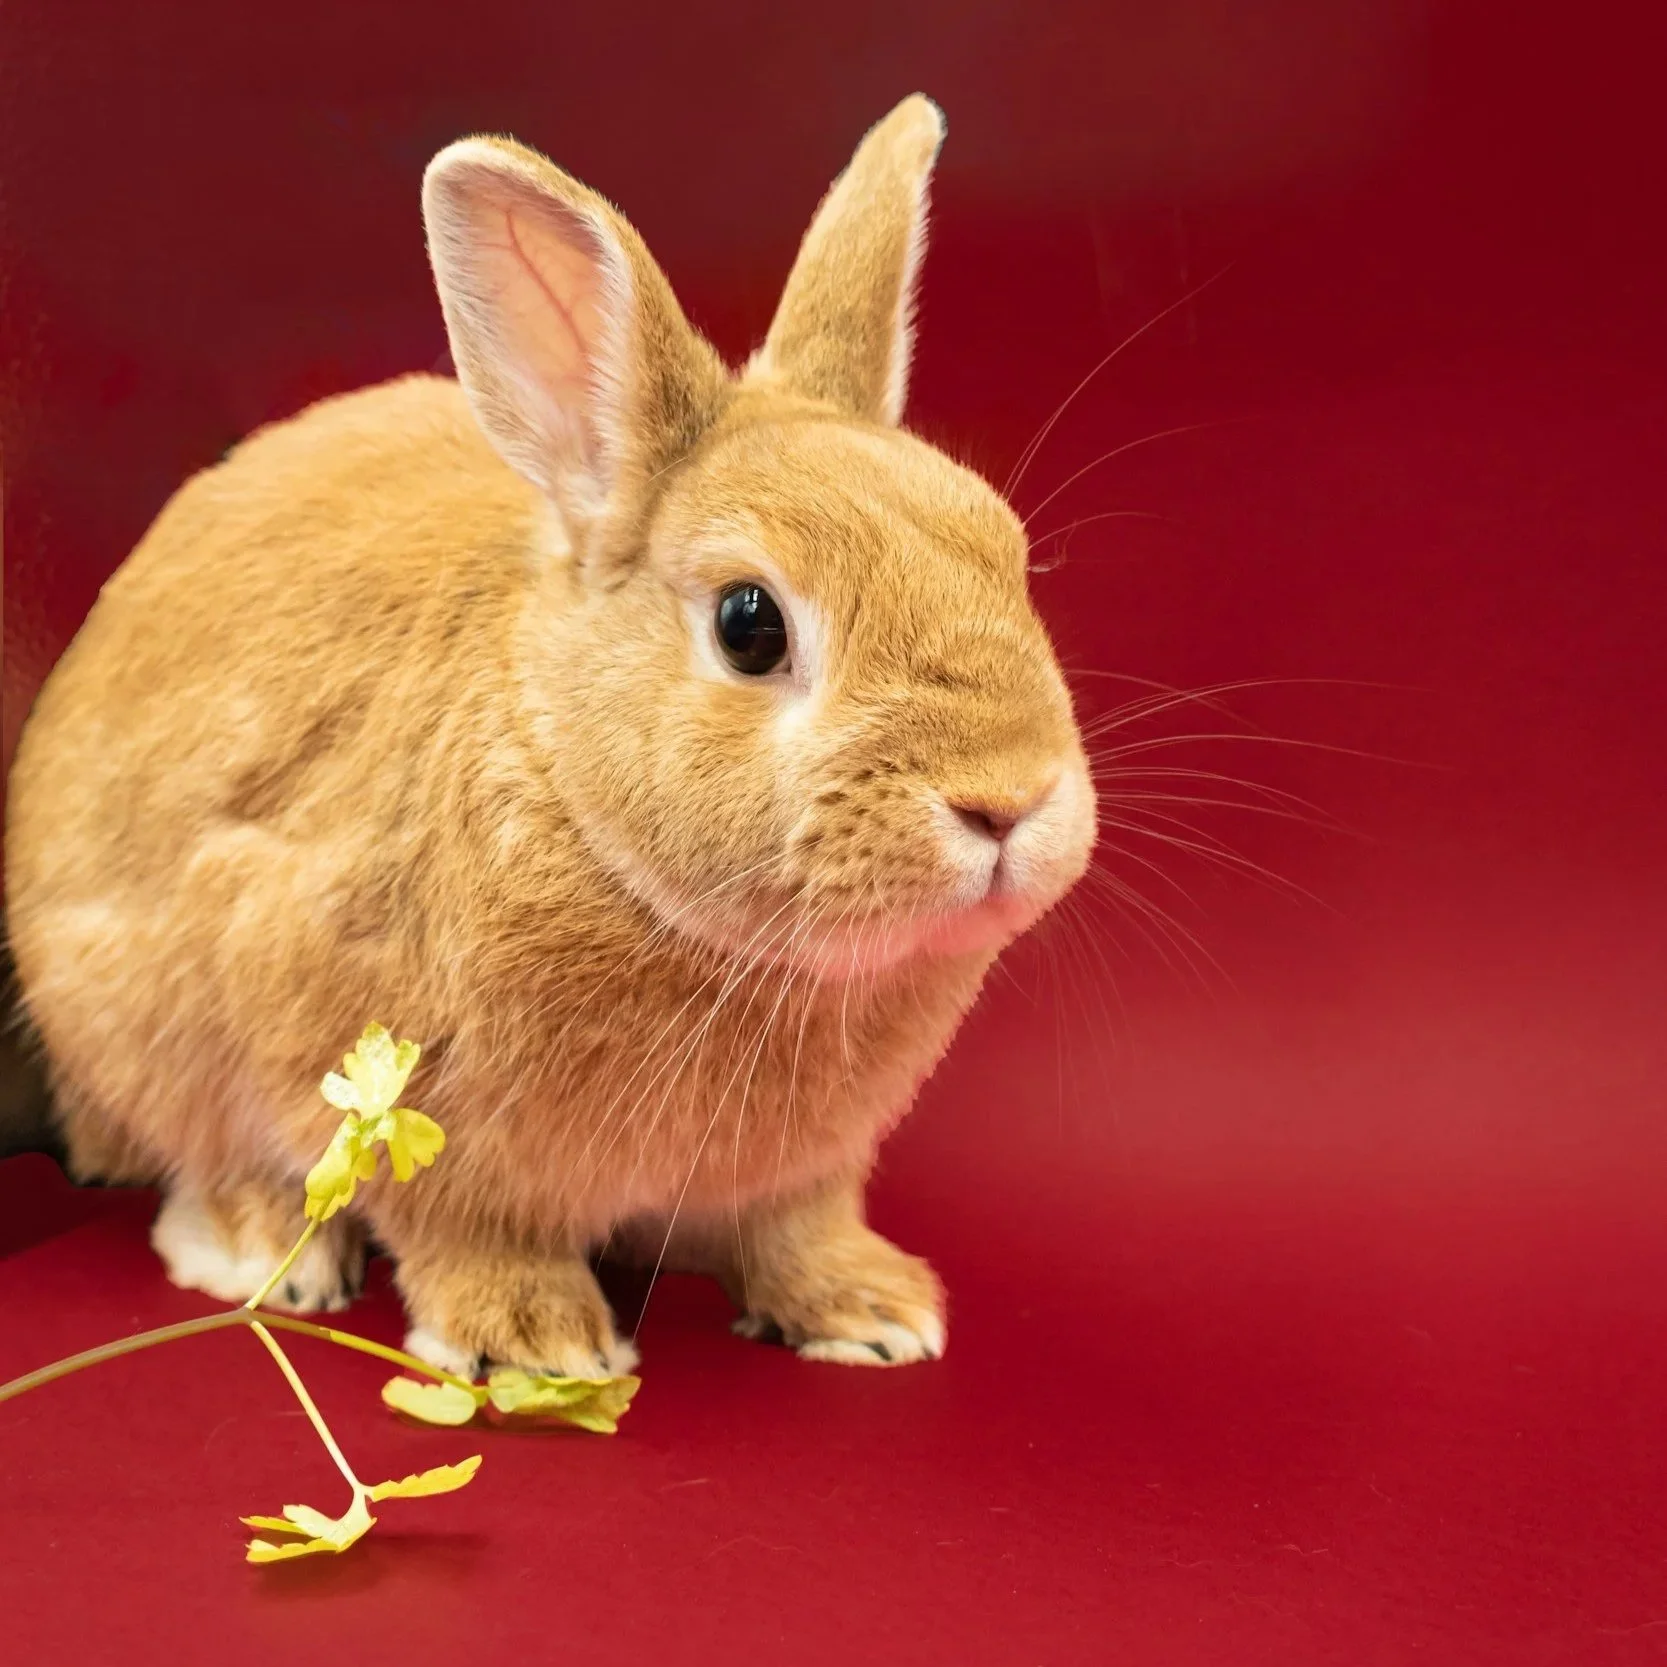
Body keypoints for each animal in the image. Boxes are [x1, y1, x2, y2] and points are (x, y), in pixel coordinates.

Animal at [4, 95, 1096, 1376]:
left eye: (1005, 551)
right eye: (749, 623)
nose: (1006, 798)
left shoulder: (800, 1173)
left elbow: (795, 1227)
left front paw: (872, 1311)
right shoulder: (383, 1085)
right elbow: (461, 1228)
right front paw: (538, 1344)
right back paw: (268, 1251)